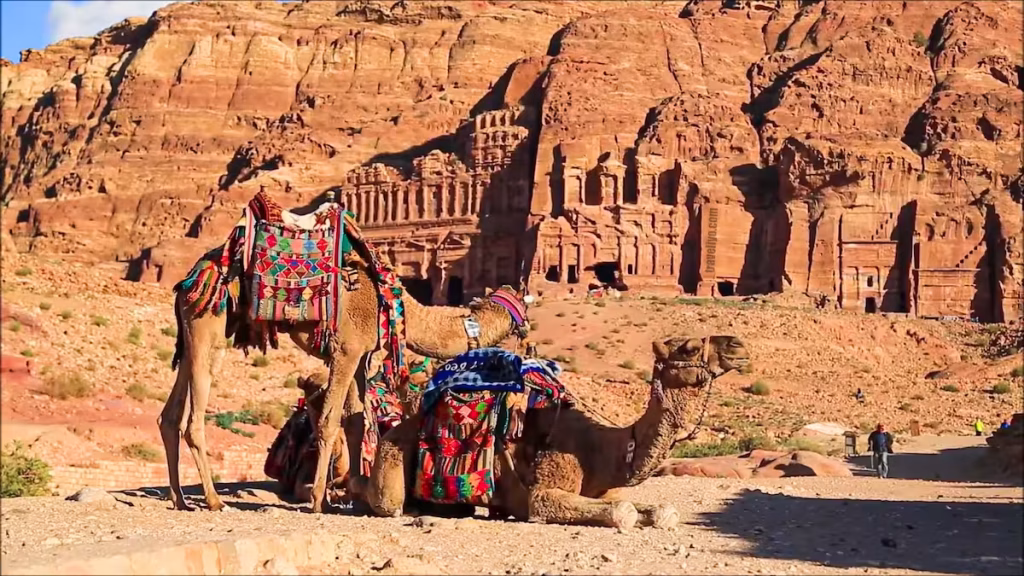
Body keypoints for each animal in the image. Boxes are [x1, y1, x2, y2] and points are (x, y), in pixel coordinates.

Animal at [158, 197, 529, 514]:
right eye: (523, 310)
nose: (526, 339)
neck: (393, 302)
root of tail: (189, 279)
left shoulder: (361, 354)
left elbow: (355, 420)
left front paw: (355, 494)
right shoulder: (345, 349)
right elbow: (329, 420)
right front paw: (320, 501)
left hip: (192, 331)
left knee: (170, 416)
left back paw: (179, 498)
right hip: (209, 325)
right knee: (193, 417)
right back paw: (213, 499)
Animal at [363, 335, 750, 529]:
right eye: (689, 347)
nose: (738, 346)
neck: (601, 450)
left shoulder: (604, 489)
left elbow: (659, 509)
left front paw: (656, 514)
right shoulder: (544, 490)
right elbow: (622, 511)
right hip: (391, 455)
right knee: (389, 502)